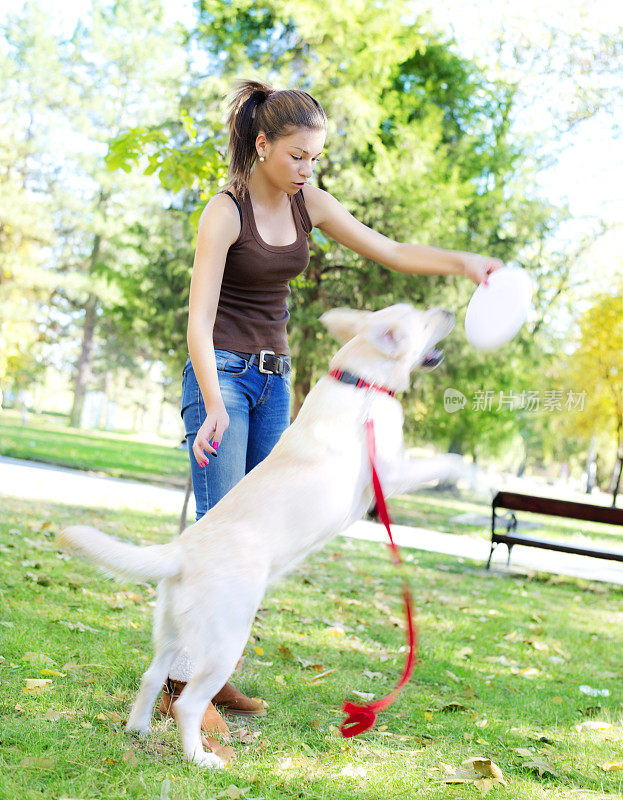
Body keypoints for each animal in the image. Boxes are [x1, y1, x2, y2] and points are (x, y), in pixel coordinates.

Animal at [58, 304, 468, 764]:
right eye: (424, 318)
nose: (449, 310)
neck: (361, 383)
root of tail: (182, 550)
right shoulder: (391, 471)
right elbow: (442, 462)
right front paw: (467, 474)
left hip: (171, 631)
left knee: (151, 677)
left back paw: (139, 730)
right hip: (226, 640)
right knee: (188, 704)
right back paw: (200, 757)